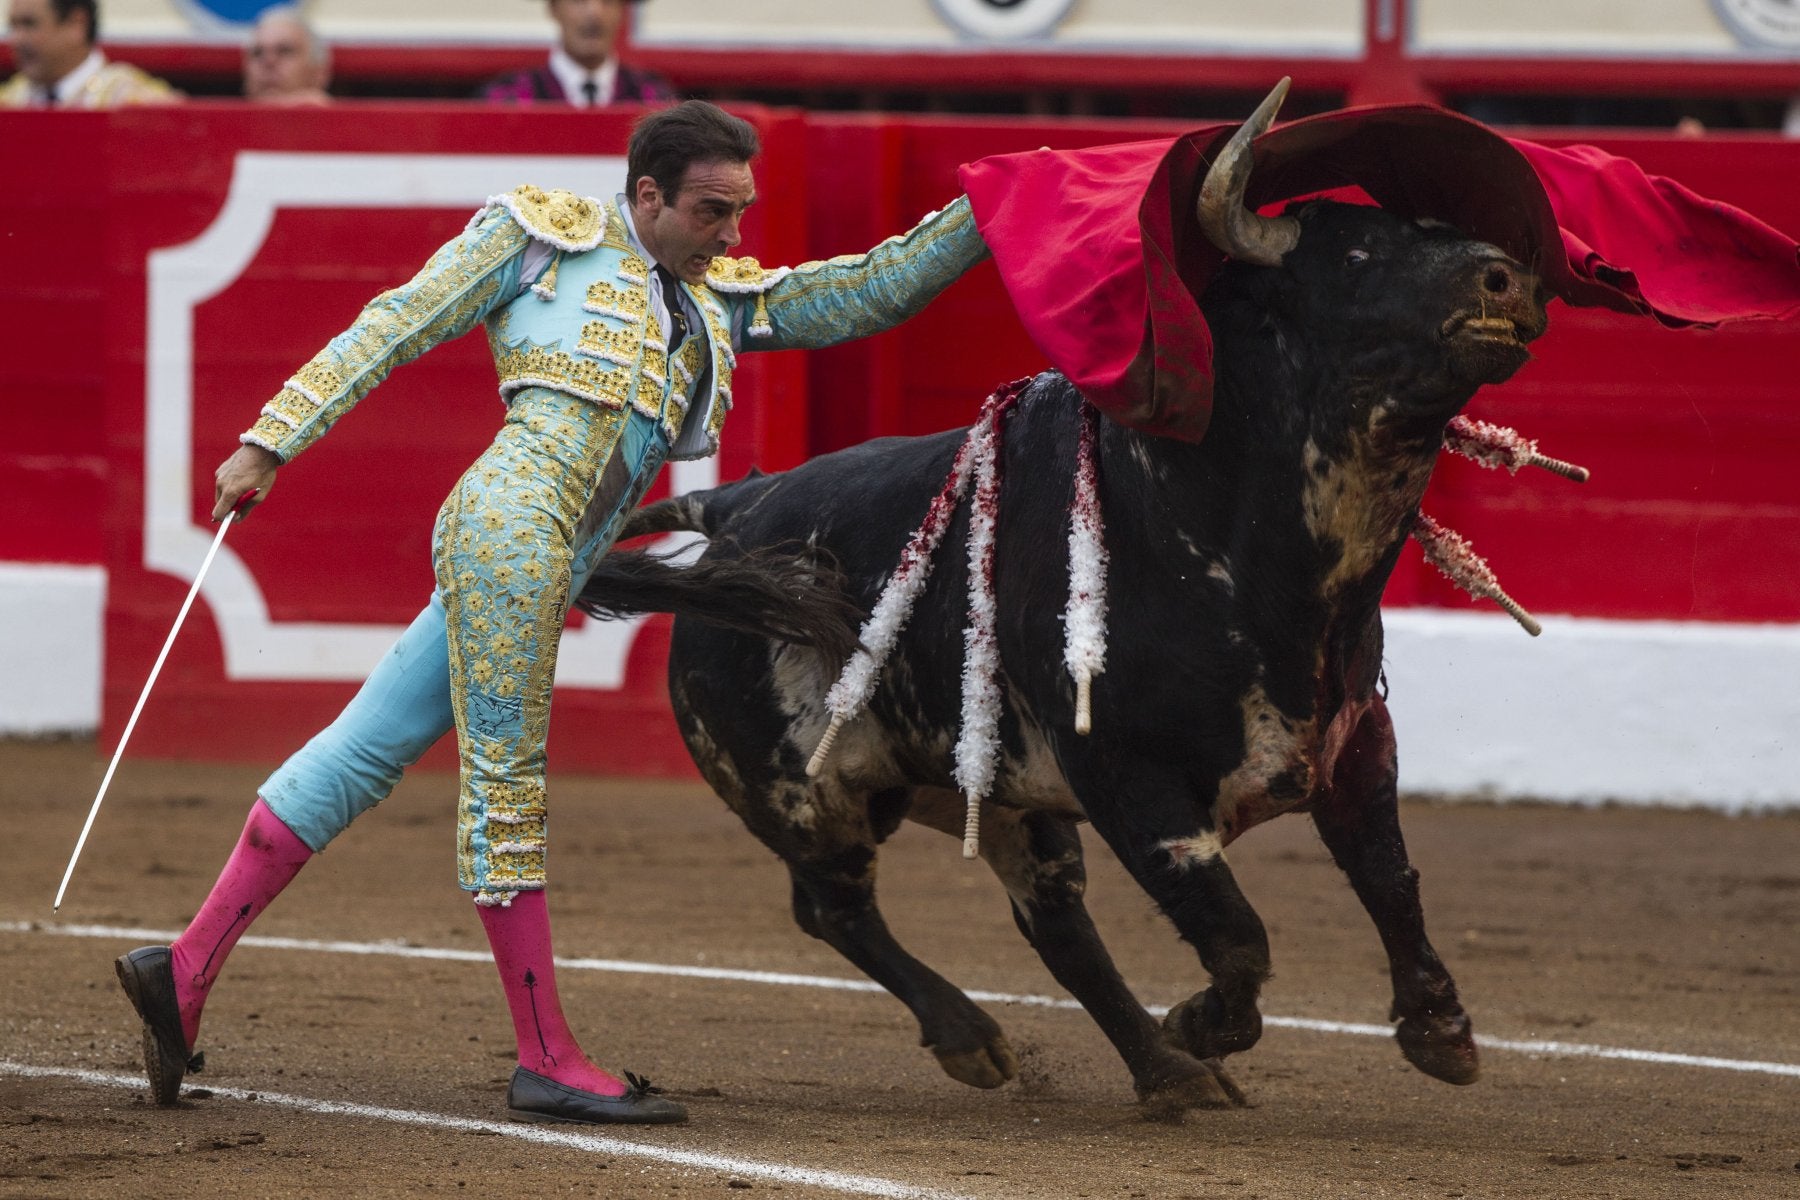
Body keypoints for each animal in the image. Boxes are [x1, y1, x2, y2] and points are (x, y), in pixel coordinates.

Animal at [572, 159, 1548, 1115]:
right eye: (1352, 256)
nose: (1505, 279)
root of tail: (734, 506)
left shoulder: (1351, 736)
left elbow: (1389, 881)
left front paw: (1440, 1030)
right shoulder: (1127, 777)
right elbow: (1236, 931)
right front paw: (1201, 1023)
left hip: (1001, 797)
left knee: (1051, 921)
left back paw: (1164, 1073)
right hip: (796, 795)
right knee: (837, 908)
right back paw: (982, 1038)